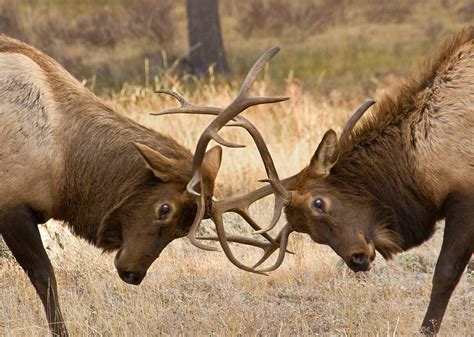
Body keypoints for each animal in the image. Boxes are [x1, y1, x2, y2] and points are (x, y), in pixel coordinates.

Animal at [0, 34, 290, 336]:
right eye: (165, 209)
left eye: (184, 228)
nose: (133, 273)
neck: (62, 169)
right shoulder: (12, 204)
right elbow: (45, 278)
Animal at [161, 26, 472, 334]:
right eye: (310, 234)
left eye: (319, 203)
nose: (357, 259)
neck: (418, 165)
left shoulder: (463, 195)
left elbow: (444, 274)